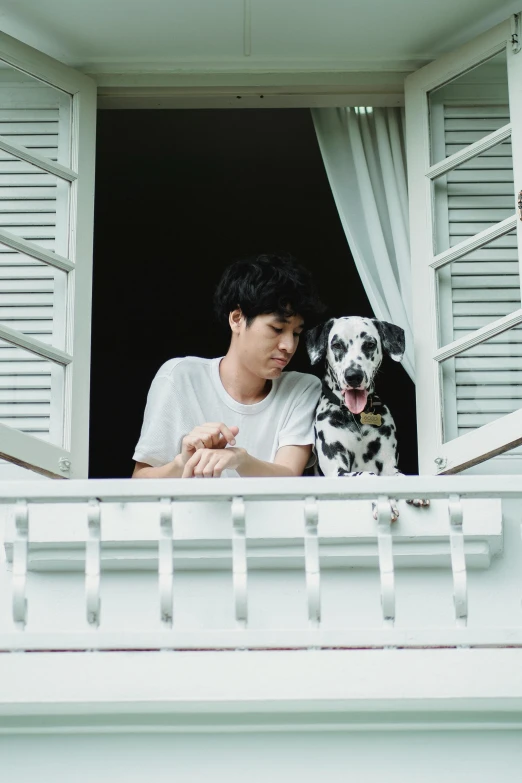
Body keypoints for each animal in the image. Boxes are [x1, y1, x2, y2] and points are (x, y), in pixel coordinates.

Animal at [304, 316, 426, 520]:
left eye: (369, 344)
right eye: (336, 345)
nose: (353, 375)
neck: (356, 416)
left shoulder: (389, 465)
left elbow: (400, 477)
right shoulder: (337, 470)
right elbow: (367, 476)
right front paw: (385, 503)